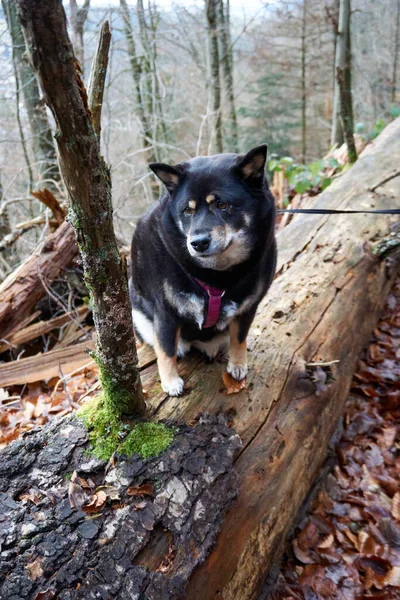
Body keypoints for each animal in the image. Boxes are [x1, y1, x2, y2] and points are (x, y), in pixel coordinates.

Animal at [130, 145, 276, 396]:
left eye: (222, 205)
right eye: (187, 211)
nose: (197, 243)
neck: (218, 276)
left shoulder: (248, 308)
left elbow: (240, 337)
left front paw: (238, 364)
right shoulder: (165, 312)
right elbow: (165, 349)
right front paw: (170, 381)